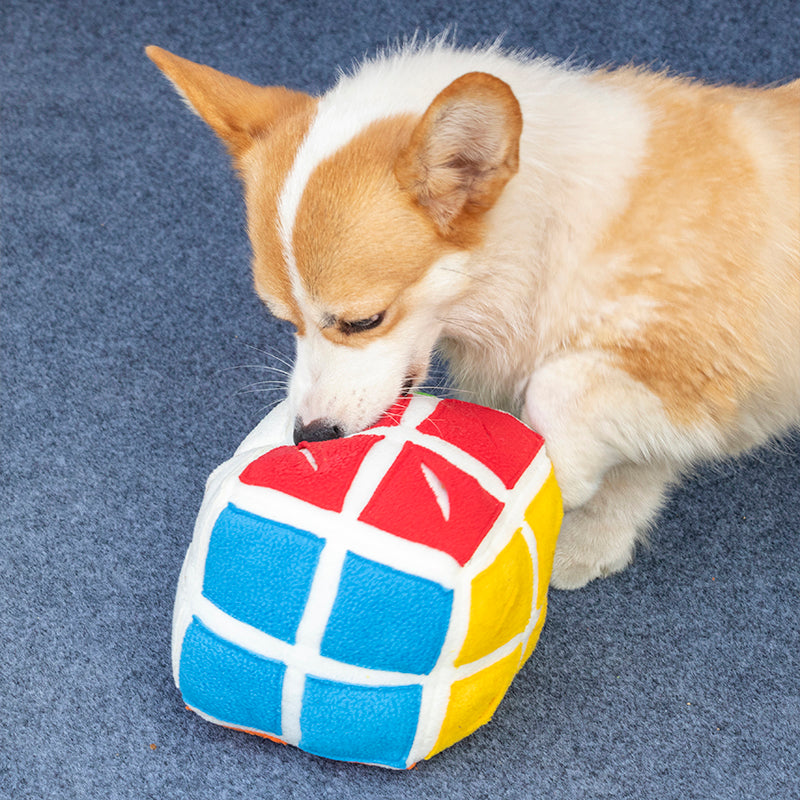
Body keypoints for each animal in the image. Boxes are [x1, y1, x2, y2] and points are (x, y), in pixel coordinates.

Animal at [145, 39, 800, 588]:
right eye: (286, 321)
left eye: (363, 320)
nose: (311, 436)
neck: (546, 243)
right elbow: (638, 469)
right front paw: (591, 543)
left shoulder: (709, 361)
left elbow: (560, 386)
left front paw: (551, 478)